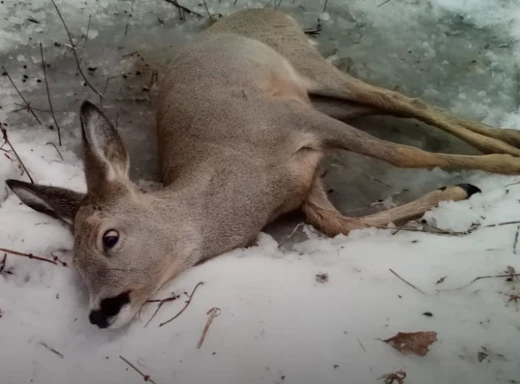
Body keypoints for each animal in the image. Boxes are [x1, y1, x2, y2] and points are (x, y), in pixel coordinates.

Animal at [6, 7, 520, 328]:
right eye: (75, 266)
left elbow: (403, 155)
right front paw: (459, 190)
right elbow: (339, 224)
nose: (100, 313)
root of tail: (267, 11)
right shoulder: (305, 181)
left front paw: (493, 170)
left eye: (109, 238)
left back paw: (508, 146)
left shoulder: (292, 121)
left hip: (309, 67)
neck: (241, 178)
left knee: (402, 100)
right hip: (324, 98)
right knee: (392, 105)